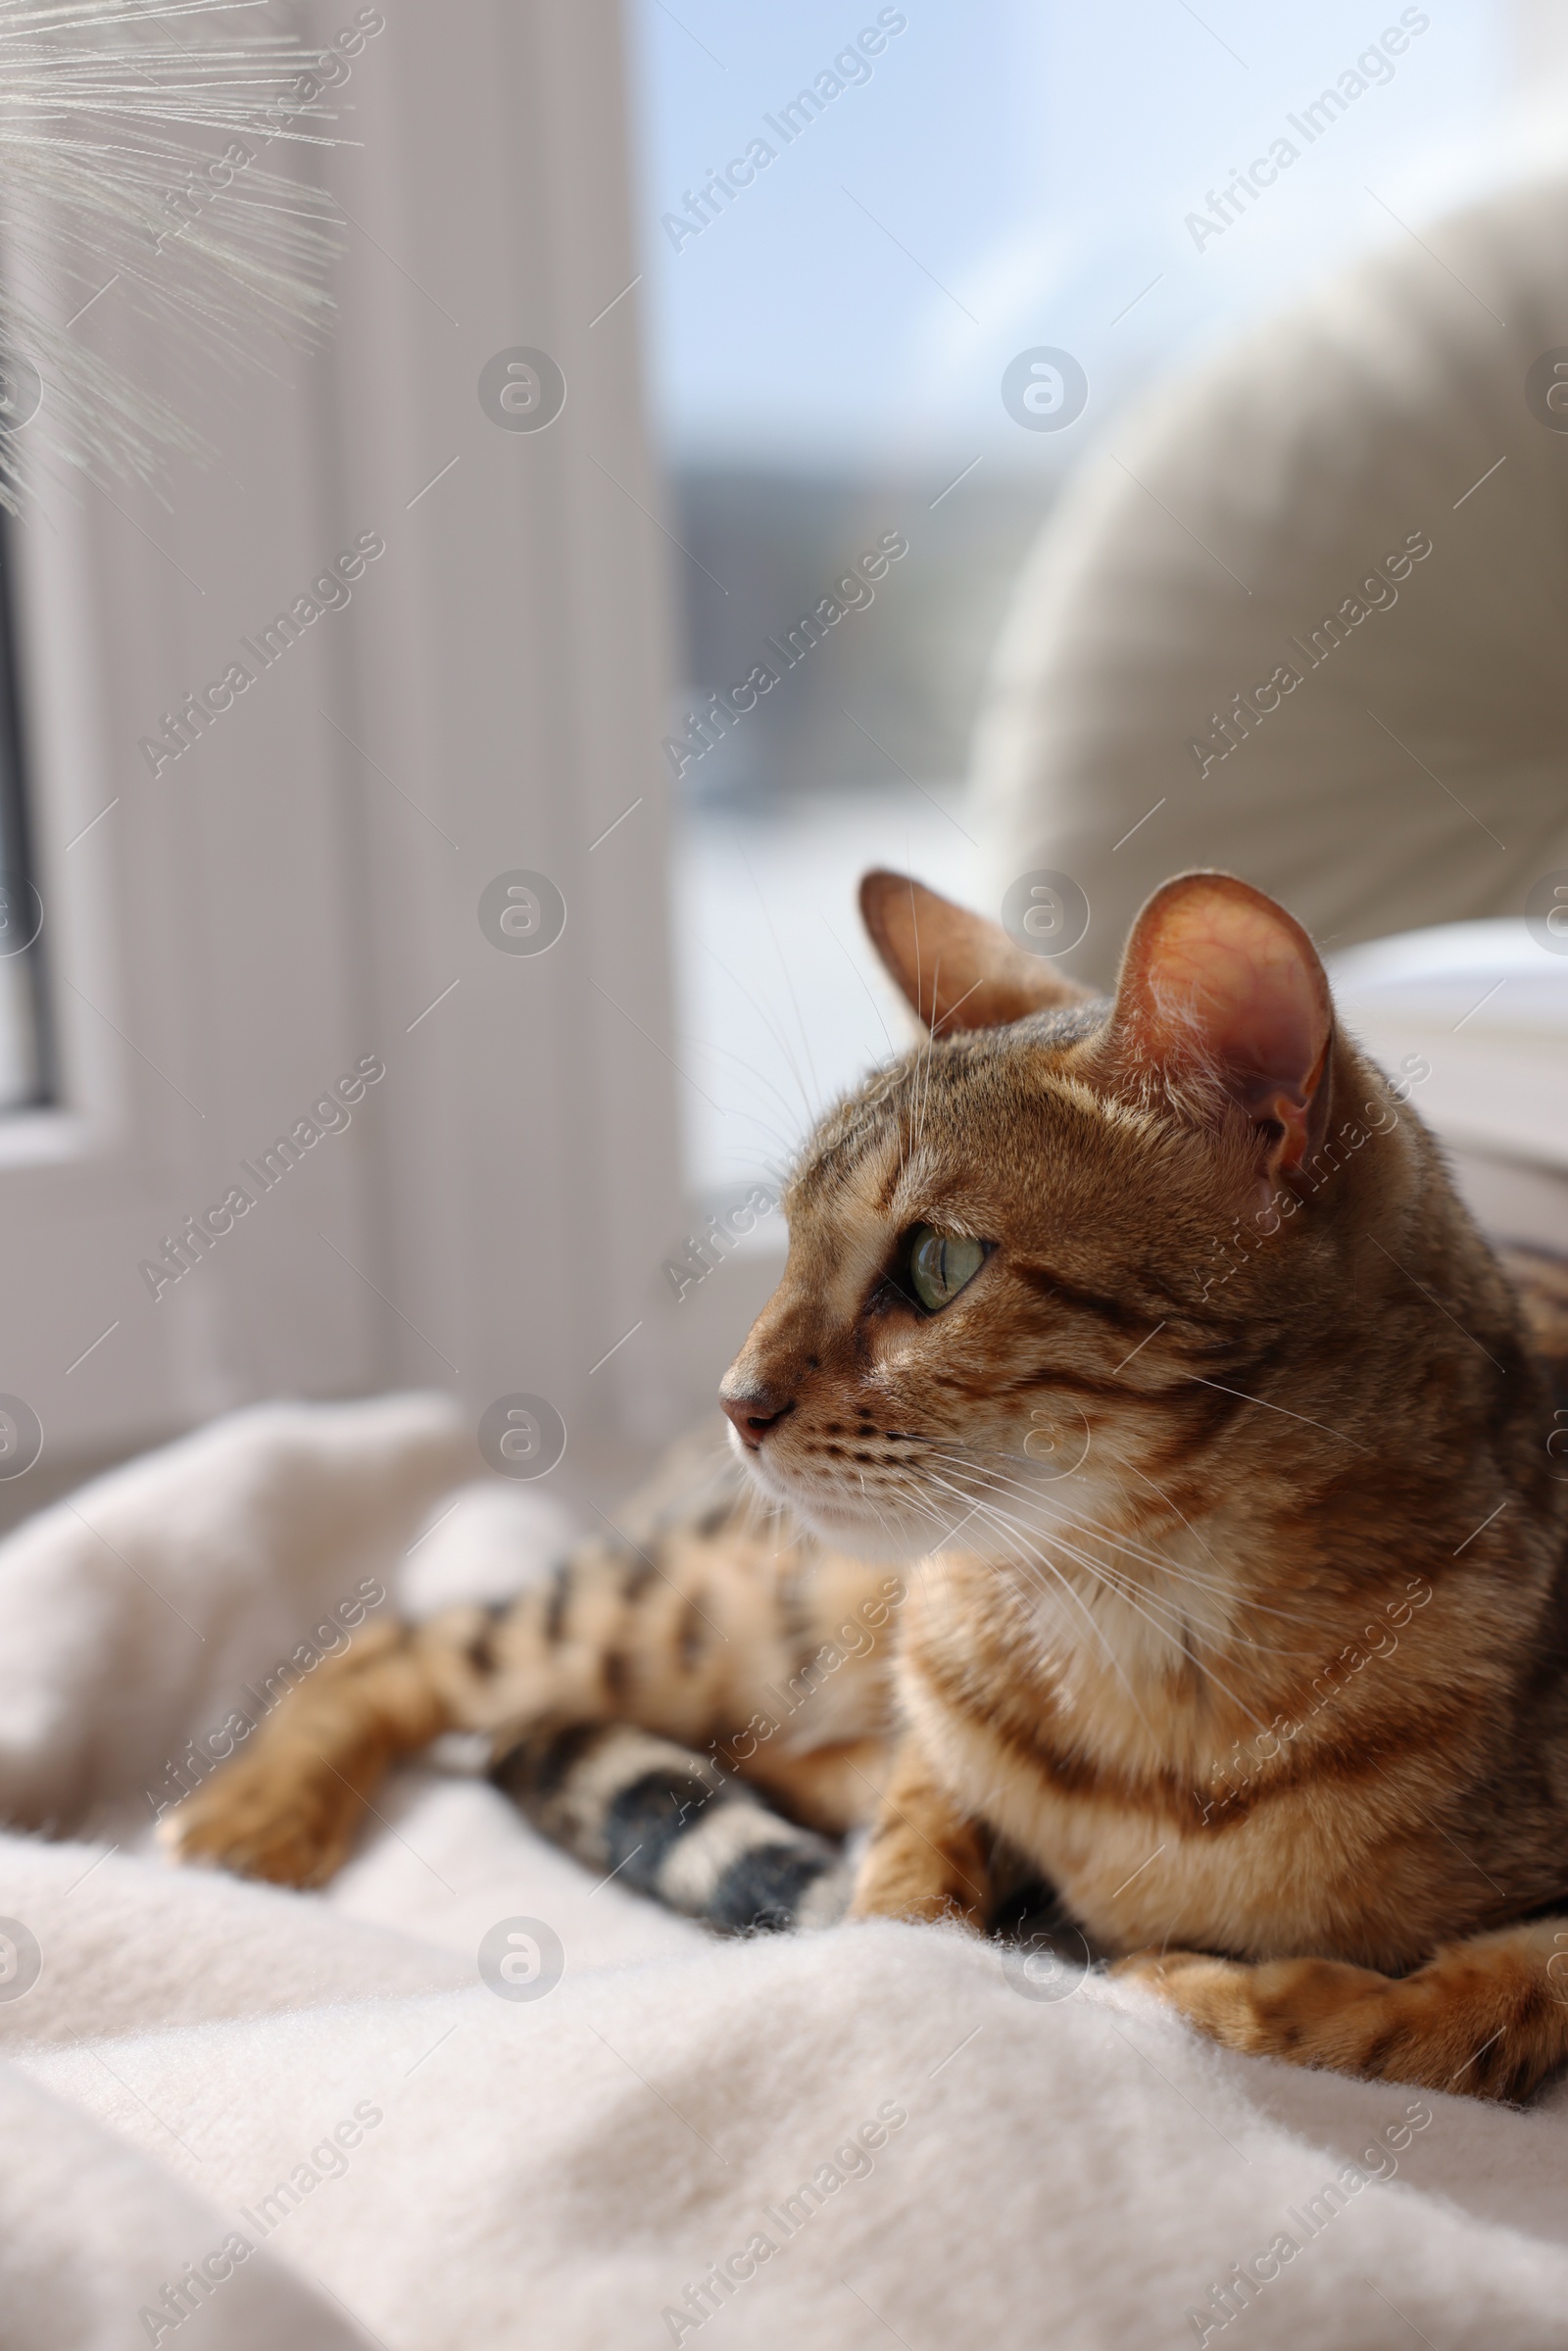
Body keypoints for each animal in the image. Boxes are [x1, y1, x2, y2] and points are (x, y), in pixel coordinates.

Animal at [162, 874, 1568, 2106]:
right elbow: (912, 1862)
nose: (734, 1397)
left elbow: (1465, 2011)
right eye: (786, 1239)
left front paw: (1214, 1991)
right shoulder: (929, 1727)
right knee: (402, 1644)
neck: (1139, 1638)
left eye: (938, 1262)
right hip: (722, 1607)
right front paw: (924, 1937)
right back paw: (243, 1818)